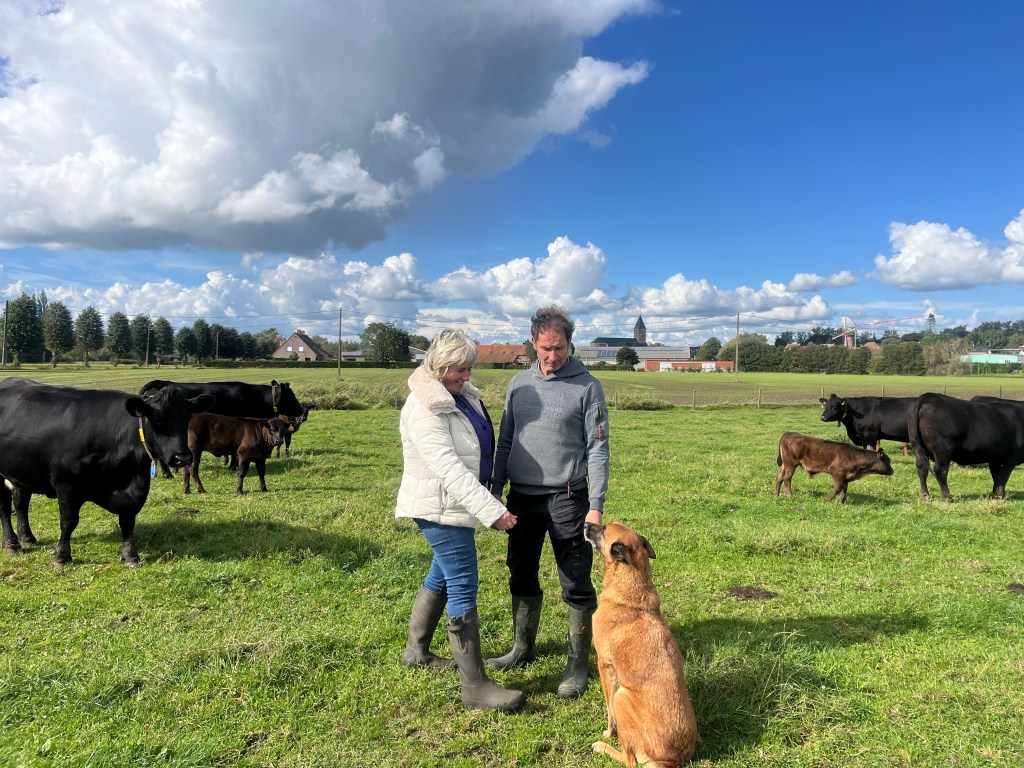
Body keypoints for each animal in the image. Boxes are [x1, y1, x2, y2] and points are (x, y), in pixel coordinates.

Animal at [0, 378, 214, 566]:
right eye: (157, 421)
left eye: (188, 419)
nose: (182, 458)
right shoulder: (66, 484)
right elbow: (68, 521)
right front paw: (62, 557)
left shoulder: (137, 488)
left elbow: (128, 521)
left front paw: (130, 556)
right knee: (5, 508)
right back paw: (12, 544)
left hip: (21, 472)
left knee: (20, 503)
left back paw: (27, 537)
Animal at [585, 521, 698, 767]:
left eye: (604, 529)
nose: (586, 523)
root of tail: (672, 760)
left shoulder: (604, 664)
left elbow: (608, 709)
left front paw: (608, 733)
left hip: (622, 697)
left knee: (630, 761)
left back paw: (603, 748)